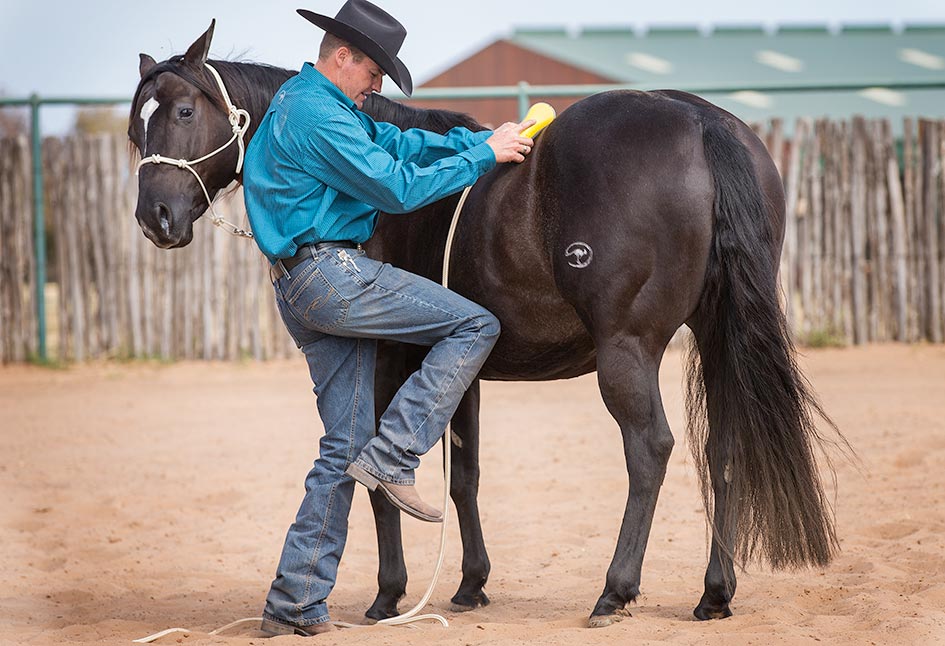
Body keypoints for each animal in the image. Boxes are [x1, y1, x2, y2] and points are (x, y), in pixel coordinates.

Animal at [128, 22, 842, 627]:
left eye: (183, 111)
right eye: (137, 130)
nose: (155, 217)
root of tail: (698, 120)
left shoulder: (387, 360)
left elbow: (373, 474)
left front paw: (388, 594)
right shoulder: (460, 368)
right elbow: (464, 475)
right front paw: (471, 582)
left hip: (628, 351)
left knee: (651, 450)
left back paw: (615, 590)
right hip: (718, 337)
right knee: (724, 449)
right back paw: (714, 593)